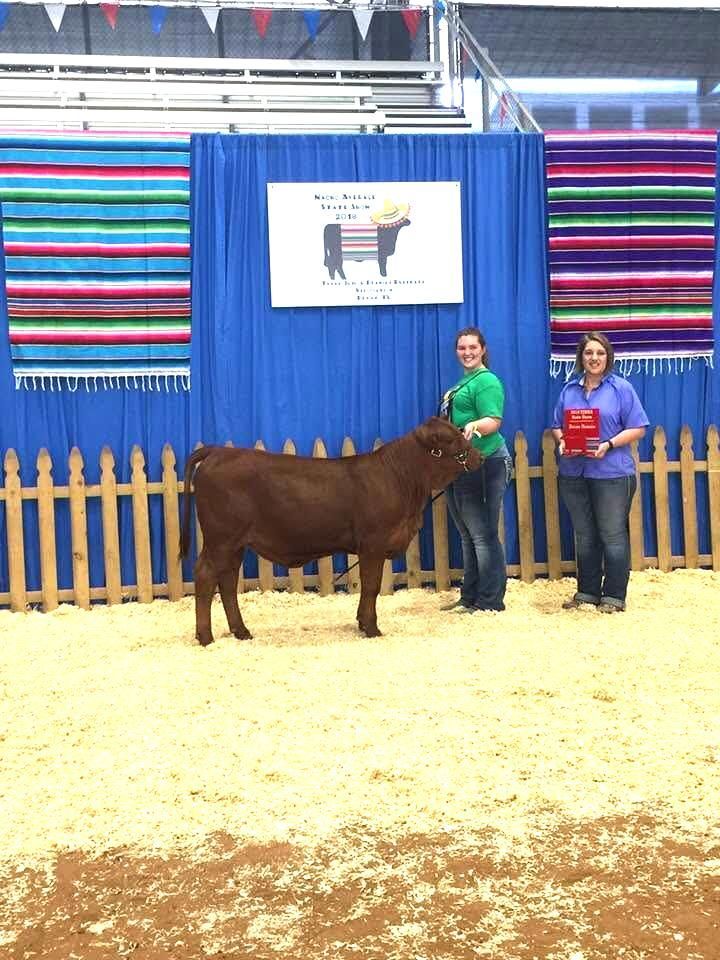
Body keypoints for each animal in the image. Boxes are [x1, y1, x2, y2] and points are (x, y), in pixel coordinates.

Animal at [180, 417, 481, 645]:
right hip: (221, 539)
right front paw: (371, 628)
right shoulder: (373, 544)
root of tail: (219, 451)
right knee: (206, 576)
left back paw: (241, 631)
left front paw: (362, 623)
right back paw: (205, 637)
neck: (399, 478)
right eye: (452, 438)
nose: (479, 456)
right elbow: (371, 586)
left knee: (227, 582)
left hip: (235, 544)